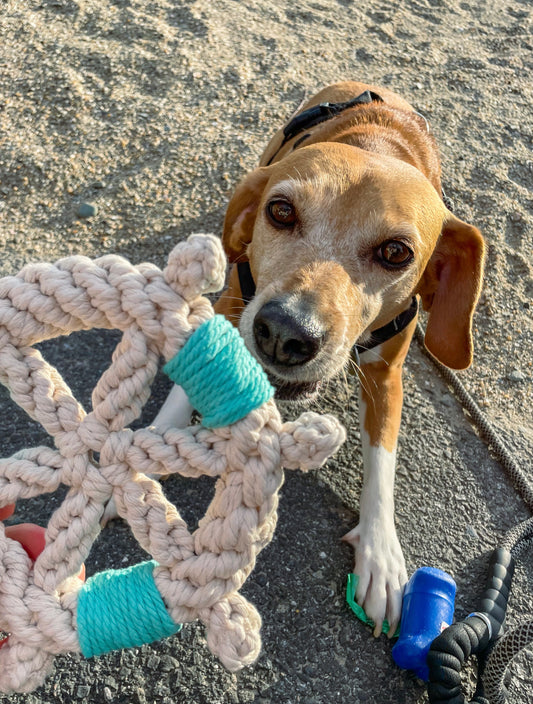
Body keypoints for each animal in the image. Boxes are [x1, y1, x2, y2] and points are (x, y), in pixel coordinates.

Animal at [155, 82, 486, 640]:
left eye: (396, 252)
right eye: (280, 211)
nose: (283, 333)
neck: (377, 144)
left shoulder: (387, 375)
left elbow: (382, 460)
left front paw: (381, 555)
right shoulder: (230, 307)